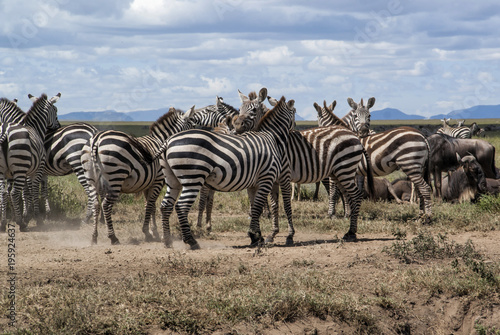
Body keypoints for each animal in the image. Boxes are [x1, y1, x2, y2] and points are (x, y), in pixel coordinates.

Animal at [0, 94, 59, 231]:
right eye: (56, 110)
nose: (58, 126)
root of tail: (5, 129)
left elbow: (26, 192)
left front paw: (24, 215)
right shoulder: (36, 170)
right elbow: (32, 191)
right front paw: (33, 216)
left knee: (4, 193)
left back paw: (4, 223)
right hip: (19, 167)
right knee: (13, 193)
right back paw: (20, 223)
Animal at [81, 106, 196, 245]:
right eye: (194, 125)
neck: (162, 142)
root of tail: (96, 140)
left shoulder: (149, 183)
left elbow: (151, 207)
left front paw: (154, 231)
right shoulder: (158, 180)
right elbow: (150, 205)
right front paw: (148, 233)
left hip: (91, 178)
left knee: (96, 204)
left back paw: (94, 237)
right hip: (116, 177)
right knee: (106, 205)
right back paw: (113, 237)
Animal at [159, 94, 296, 249]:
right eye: (295, 112)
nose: (296, 130)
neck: (272, 137)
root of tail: (168, 141)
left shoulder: (253, 184)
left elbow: (255, 208)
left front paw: (256, 237)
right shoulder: (267, 178)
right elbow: (257, 207)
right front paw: (256, 236)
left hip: (172, 180)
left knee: (165, 205)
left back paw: (168, 241)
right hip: (193, 178)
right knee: (181, 206)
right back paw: (191, 241)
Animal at [234, 91, 376, 244]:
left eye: (254, 110)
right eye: (239, 109)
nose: (237, 126)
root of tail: (355, 136)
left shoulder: (284, 176)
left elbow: (286, 205)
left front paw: (289, 235)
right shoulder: (272, 179)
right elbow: (274, 205)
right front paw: (272, 234)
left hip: (345, 170)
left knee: (356, 195)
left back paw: (352, 232)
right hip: (339, 173)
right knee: (349, 195)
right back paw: (349, 228)